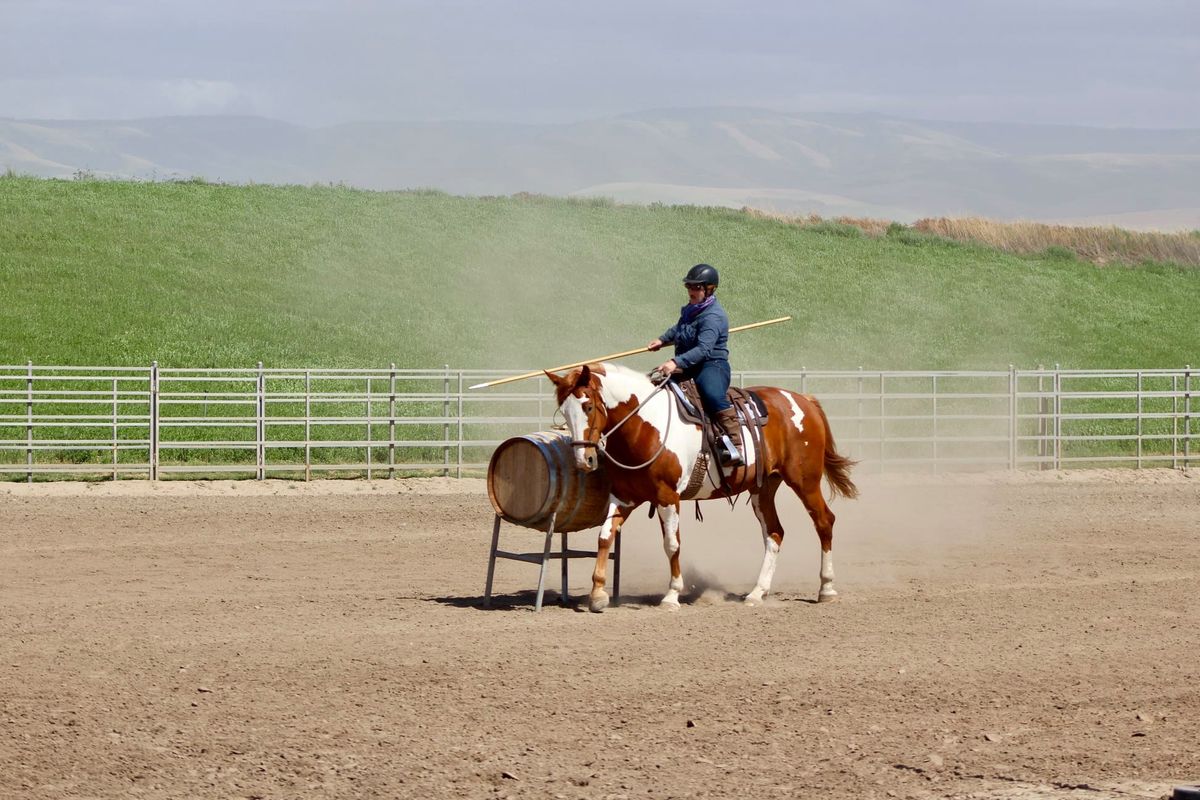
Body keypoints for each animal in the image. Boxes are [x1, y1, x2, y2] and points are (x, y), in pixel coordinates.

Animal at [549, 362, 859, 614]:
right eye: (564, 410)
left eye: (588, 406)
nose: (584, 460)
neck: (645, 424)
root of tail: (803, 400)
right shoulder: (624, 498)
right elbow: (604, 537)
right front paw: (598, 594)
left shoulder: (667, 496)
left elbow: (672, 544)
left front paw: (671, 595)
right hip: (763, 489)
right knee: (774, 532)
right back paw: (757, 593)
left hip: (805, 481)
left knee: (824, 521)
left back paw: (826, 589)